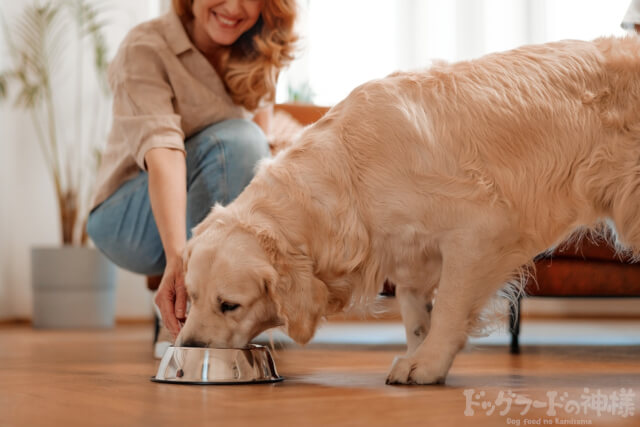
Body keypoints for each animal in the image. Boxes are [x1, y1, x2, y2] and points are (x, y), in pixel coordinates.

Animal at [178, 36, 640, 384]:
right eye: (191, 297)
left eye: (230, 305)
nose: (186, 348)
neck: (351, 176)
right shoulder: (409, 254)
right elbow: (417, 312)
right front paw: (420, 352)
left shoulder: (479, 230)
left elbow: (450, 305)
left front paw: (428, 363)